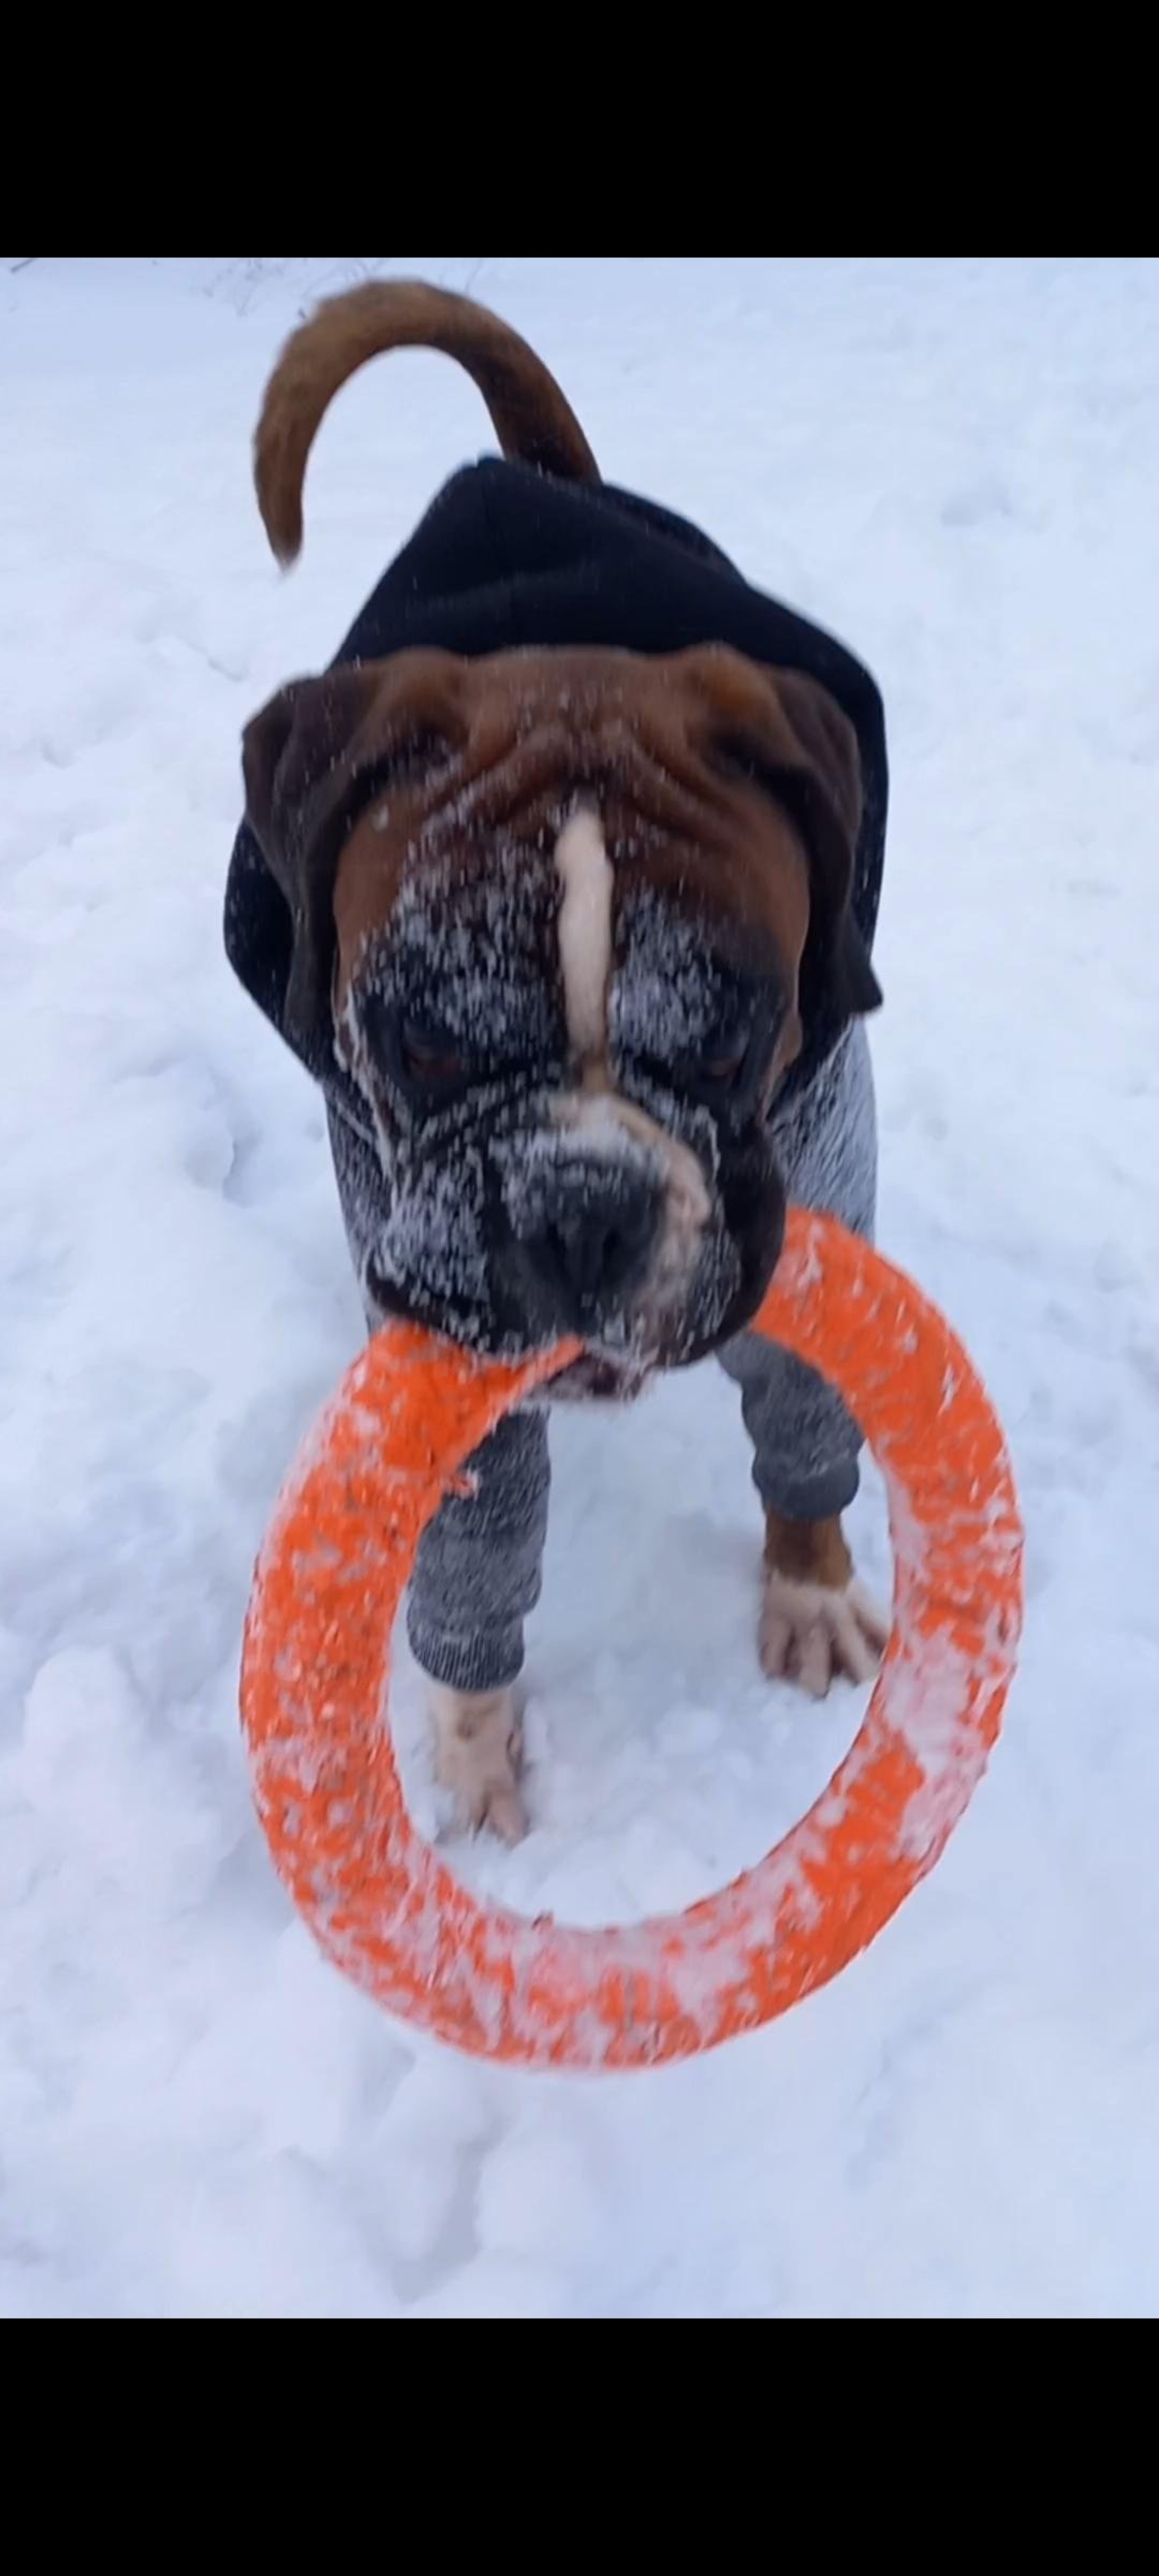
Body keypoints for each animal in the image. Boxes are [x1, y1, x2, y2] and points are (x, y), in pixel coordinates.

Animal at [230, 282, 891, 1844]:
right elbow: (469, 1542)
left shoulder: (811, 1218)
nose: (579, 1206)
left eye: (728, 1034)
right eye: (416, 1034)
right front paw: (473, 1764)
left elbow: (803, 1407)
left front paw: (811, 1593)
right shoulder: (447, 1353)